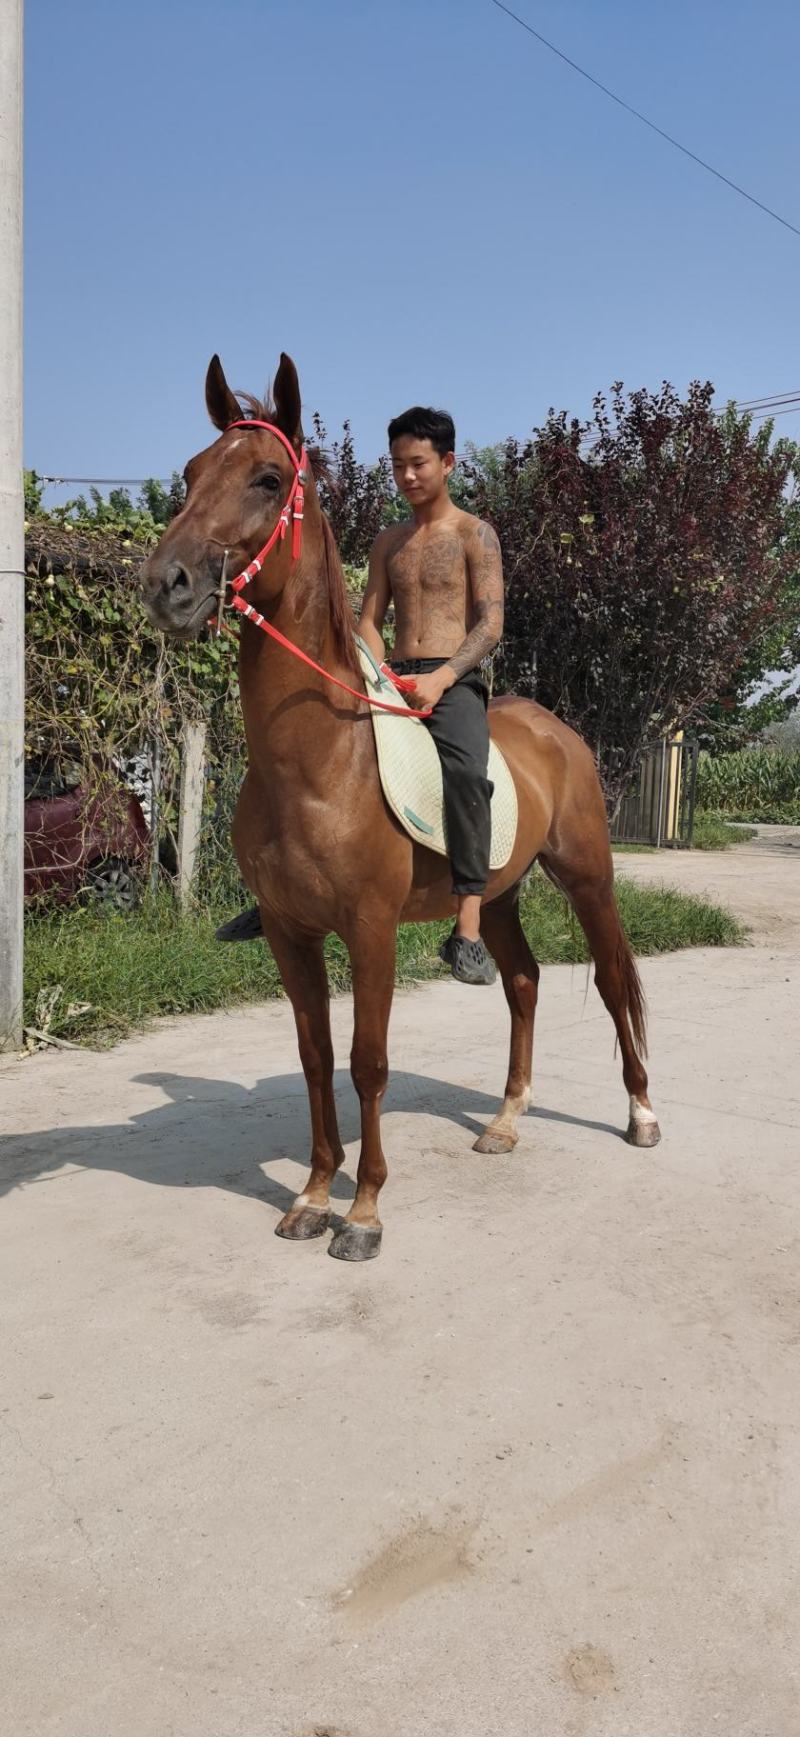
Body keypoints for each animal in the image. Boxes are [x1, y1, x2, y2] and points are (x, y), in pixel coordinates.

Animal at [141, 351, 660, 1262]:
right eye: (192, 472)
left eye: (268, 478)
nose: (165, 583)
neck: (318, 766)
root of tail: (559, 731)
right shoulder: (291, 931)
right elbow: (316, 1057)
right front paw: (313, 1194)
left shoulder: (371, 927)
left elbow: (368, 1060)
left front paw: (364, 1211)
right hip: (497, 894)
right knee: (522, 981)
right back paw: (506, 1119)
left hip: (588, 878)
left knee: (609, 979)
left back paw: (640, 1111)